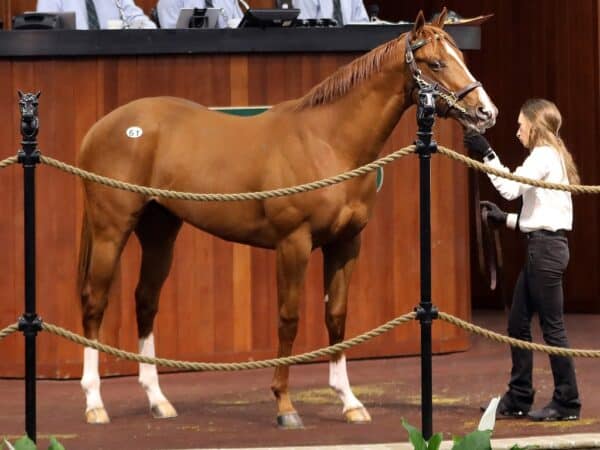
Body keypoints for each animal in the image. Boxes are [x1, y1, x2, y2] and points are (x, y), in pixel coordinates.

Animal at [76, 8, 496, 428]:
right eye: (436, 63)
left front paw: (349, 401)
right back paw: (94, 403)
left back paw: (158, 400)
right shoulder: (293, 242)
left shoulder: (346, 243)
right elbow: (288, 318)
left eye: (461, 56)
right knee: (95, 302)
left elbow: (337, 316)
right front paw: (284, 405)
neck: (328, 143)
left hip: (159, 230)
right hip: (111, 231)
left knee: (146, 300)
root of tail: (102, 127)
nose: (486, 112)